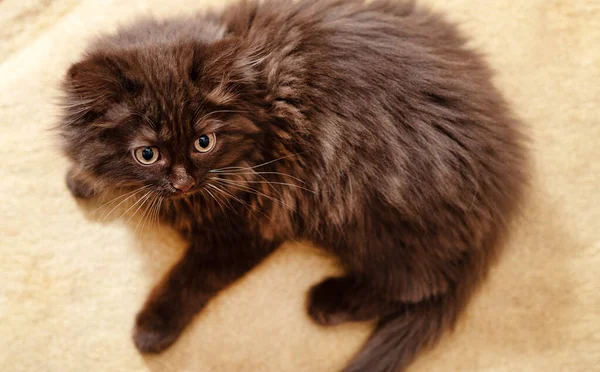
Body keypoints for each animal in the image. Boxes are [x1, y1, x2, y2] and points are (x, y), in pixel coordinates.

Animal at [57, 1, 524, 370]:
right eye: (147, 154)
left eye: (204, 142)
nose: (184, 182)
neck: (258, 101)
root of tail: (504, 178)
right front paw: (83, 180)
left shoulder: (250, 223)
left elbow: (191, 277)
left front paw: (153, 329)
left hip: (365, 212)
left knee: (421, 284)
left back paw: (328, 302)